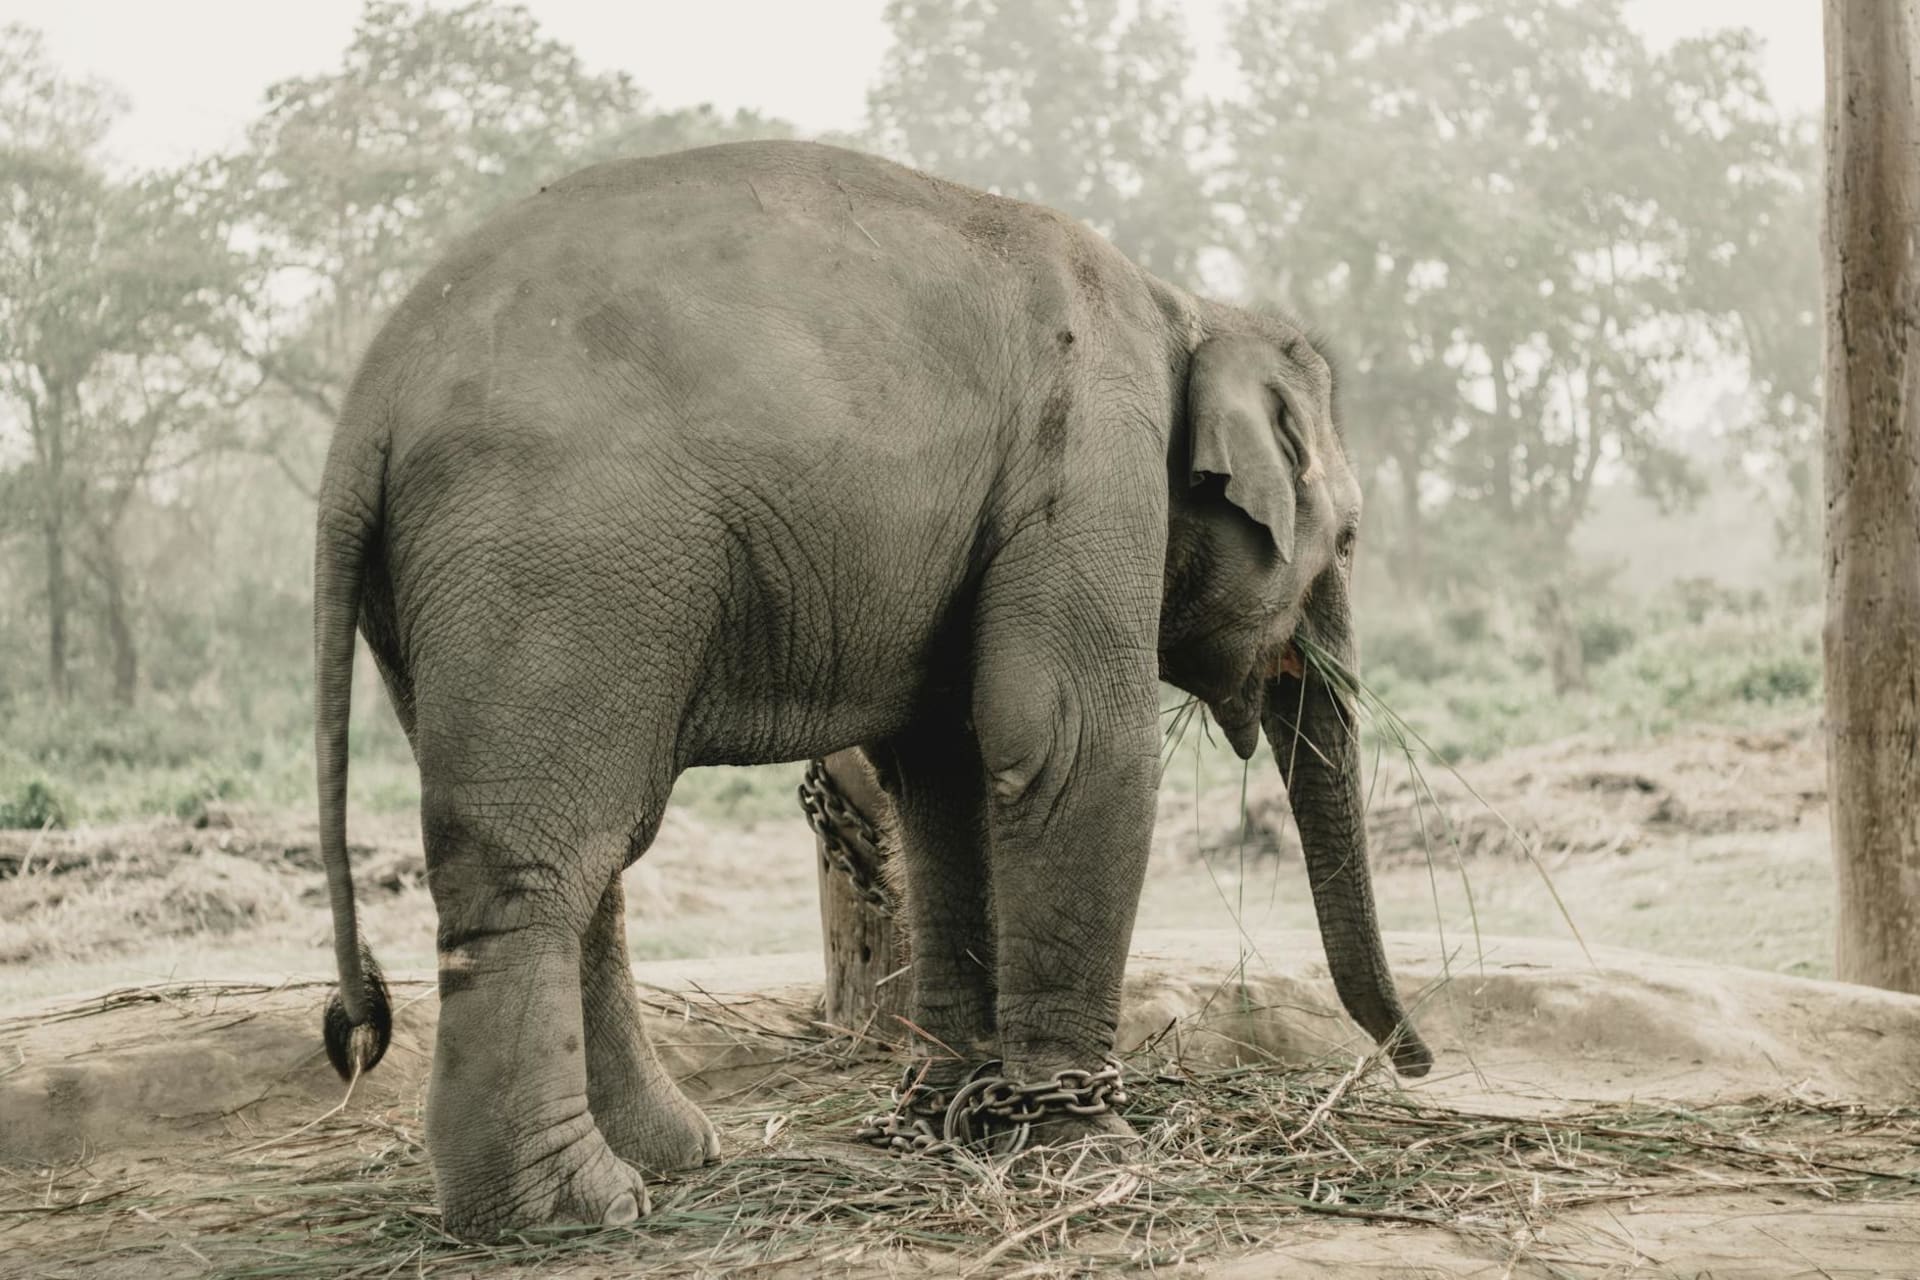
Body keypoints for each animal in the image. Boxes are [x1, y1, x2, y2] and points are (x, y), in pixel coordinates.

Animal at [313, 139, 1433, 1239]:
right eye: (1348, 540)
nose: (1415, 1063)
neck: (1185, 306)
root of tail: (367, 402)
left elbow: (945, 768)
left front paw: (952, 1113)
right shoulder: (1091, 456)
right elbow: (1070, 744)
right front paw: (1089, 1143)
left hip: (455, 600)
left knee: (589, 856)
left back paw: (668, 1155)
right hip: (560, 557)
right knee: (536, 860)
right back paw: (569, 1210)